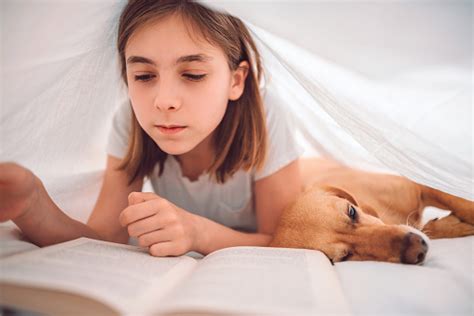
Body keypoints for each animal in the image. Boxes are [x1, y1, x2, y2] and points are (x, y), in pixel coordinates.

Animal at [270, 158, 474, 264]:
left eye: (351, 212)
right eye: (345, 256)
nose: (417, 249)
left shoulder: (418, 185)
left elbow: (460, 203)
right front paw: (453, 225)